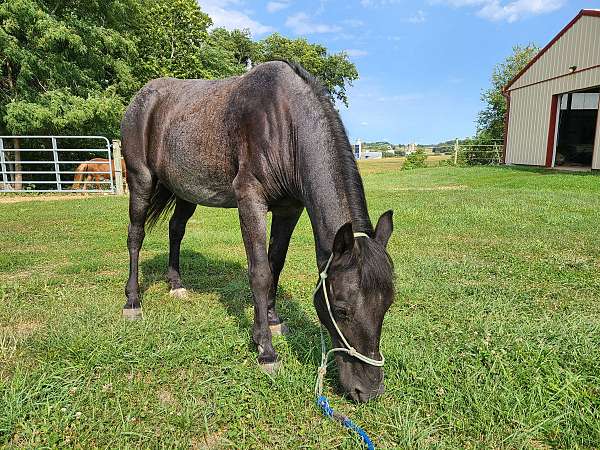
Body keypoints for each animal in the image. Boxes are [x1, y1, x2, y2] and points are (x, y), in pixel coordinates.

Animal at [120, 61, 396, 402]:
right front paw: (266, 350)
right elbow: (260, 272)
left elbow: (275, 265)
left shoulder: (289, 209)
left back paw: (176, 284)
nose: (368, 389)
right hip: (140, 180)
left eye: (387, 304)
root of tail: (142, 98)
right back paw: (132, 302)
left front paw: (271, 322)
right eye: (342, 310)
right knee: (135, 236)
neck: (285, 123)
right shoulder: (250, 199)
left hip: (186, 191)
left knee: (176, 230)